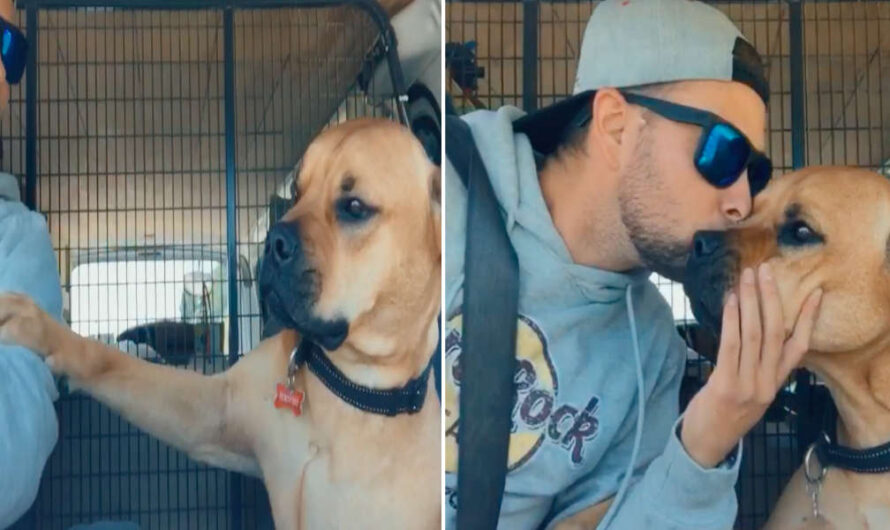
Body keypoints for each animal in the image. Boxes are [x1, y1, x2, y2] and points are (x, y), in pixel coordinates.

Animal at [0, 118, 440, 528]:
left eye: (354, 207)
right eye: (297, 193)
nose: (273, 241)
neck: (349, 384)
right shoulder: (212, 412)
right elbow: (116, 361)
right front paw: (45, 331)